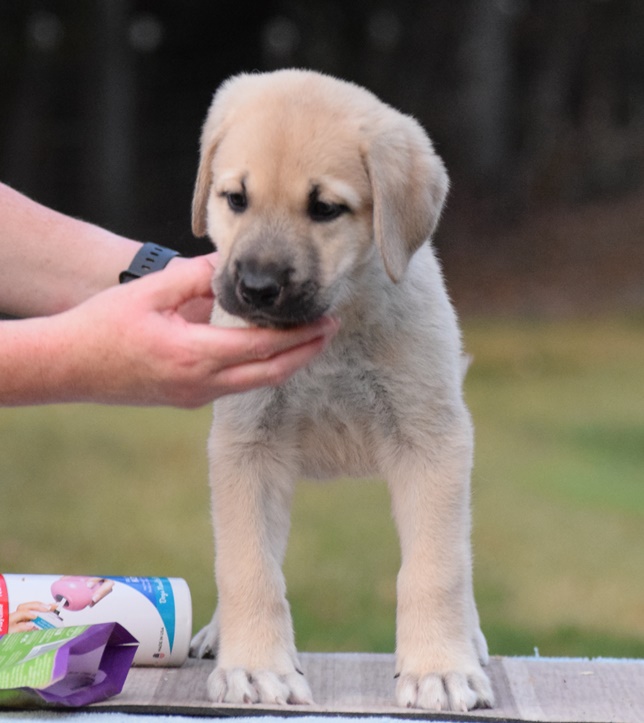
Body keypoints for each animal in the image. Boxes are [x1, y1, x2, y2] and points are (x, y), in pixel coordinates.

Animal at [189, 69, 494, 712]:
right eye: (235, 199)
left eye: (325, 208)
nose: (256, 288)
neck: (335, 333)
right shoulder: (246, 448)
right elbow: (249, 567)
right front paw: (256, 666)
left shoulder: (431, 444)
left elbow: (437, 569)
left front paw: (439, 668)